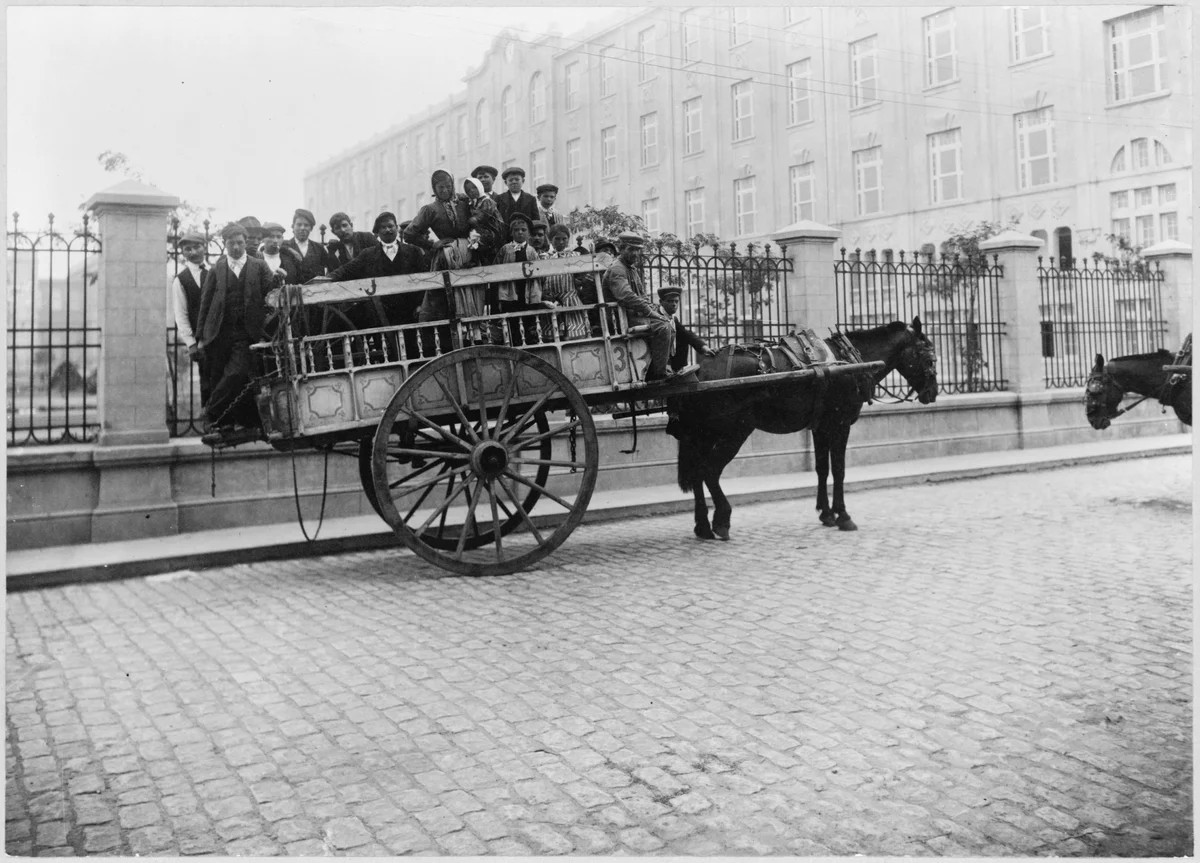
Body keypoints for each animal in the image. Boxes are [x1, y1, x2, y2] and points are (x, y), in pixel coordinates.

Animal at [676, 319, 936, 540]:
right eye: (929, 359)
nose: (932, 394)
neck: (850, 359)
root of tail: (700, 371)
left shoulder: (820, 427)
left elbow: (822, 468)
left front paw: (826, 514)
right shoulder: (840, 425)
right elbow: (839, 470)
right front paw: (843, 516)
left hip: (705, 434)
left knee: (698, 473)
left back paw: (702, 526)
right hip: (733, 431)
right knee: (710, 471)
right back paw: (722, 520)